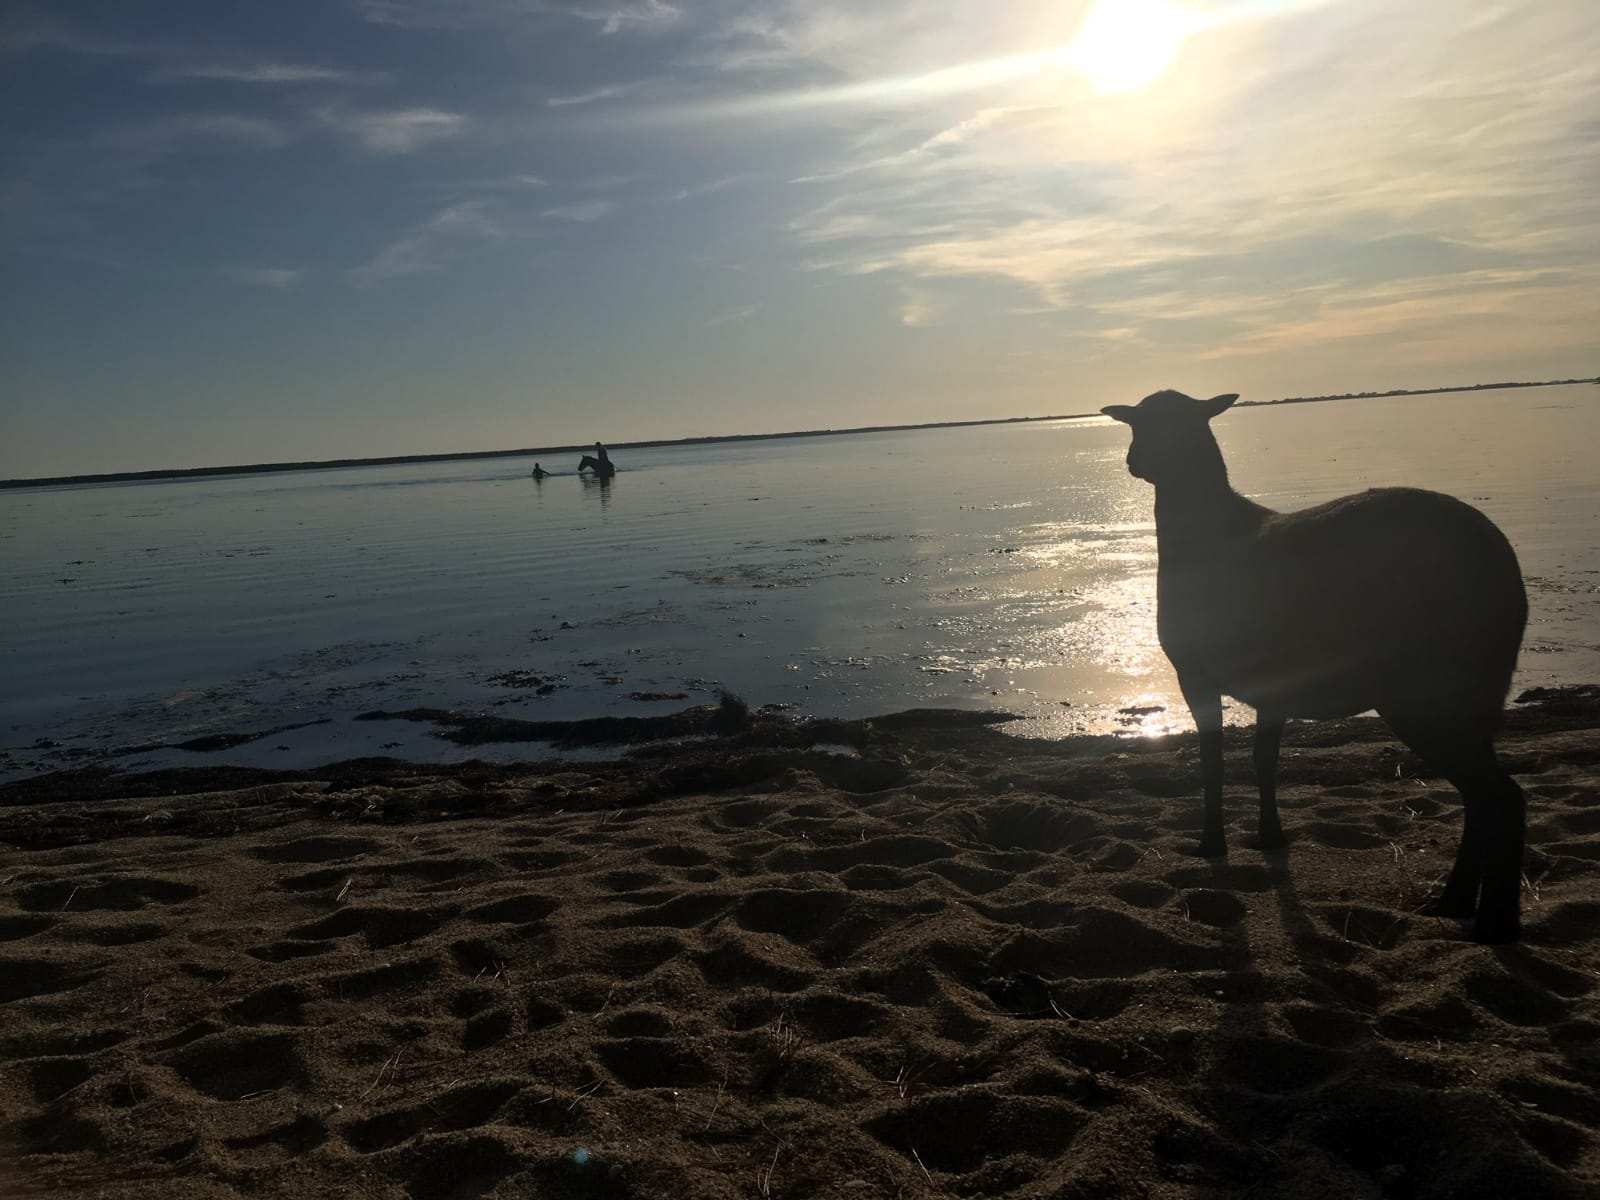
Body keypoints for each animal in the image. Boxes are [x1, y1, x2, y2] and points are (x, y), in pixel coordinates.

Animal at [1100, 390, 1523, 947]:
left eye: (1146, 427)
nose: (1134, 462)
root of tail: (1507, 571)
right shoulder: (1273, 686)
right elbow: (1264, 761)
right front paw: (1270, 836)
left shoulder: (1194, 676)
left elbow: (1213, 764)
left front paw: (1212, 843)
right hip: (1470, 692)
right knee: (1482, 796)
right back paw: (1452, 903)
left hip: (1430, 689)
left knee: (1499, 796)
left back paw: (1494, 923)